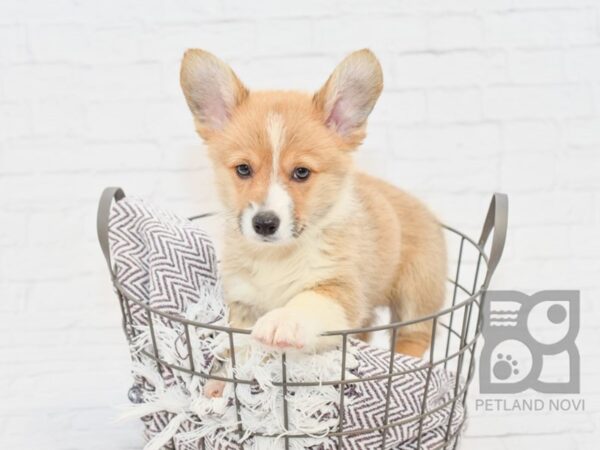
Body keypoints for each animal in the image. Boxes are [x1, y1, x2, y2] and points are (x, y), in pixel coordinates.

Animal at [180, 47, 448, 396]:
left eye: (301, 172)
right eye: (243, 169)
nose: (264, 223)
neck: (277, 258)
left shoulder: (340, 289)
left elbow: (308, 301)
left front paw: (283, 321)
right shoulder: (243, 306)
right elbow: (240, 349)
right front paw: (220, 384)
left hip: (418, 291)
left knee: (413, 337)